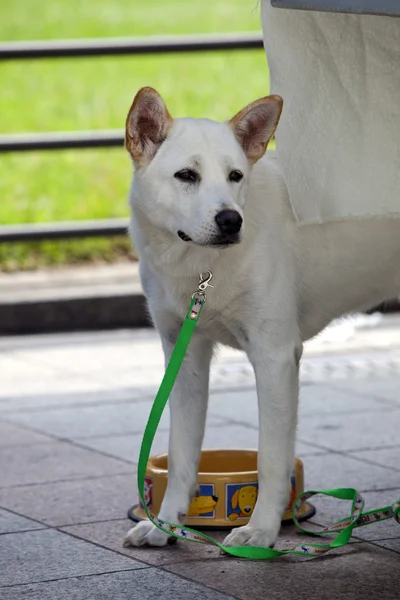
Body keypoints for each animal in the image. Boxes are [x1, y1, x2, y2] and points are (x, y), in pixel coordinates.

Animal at [123, 86, 400, 552]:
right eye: (186, 175)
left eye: (235, 175)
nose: (230, 220)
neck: (202, 268)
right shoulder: (185, 358)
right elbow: (182, 453)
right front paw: (166, 524)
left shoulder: (276, 357)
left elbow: (272, 458)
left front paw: (262, 531)